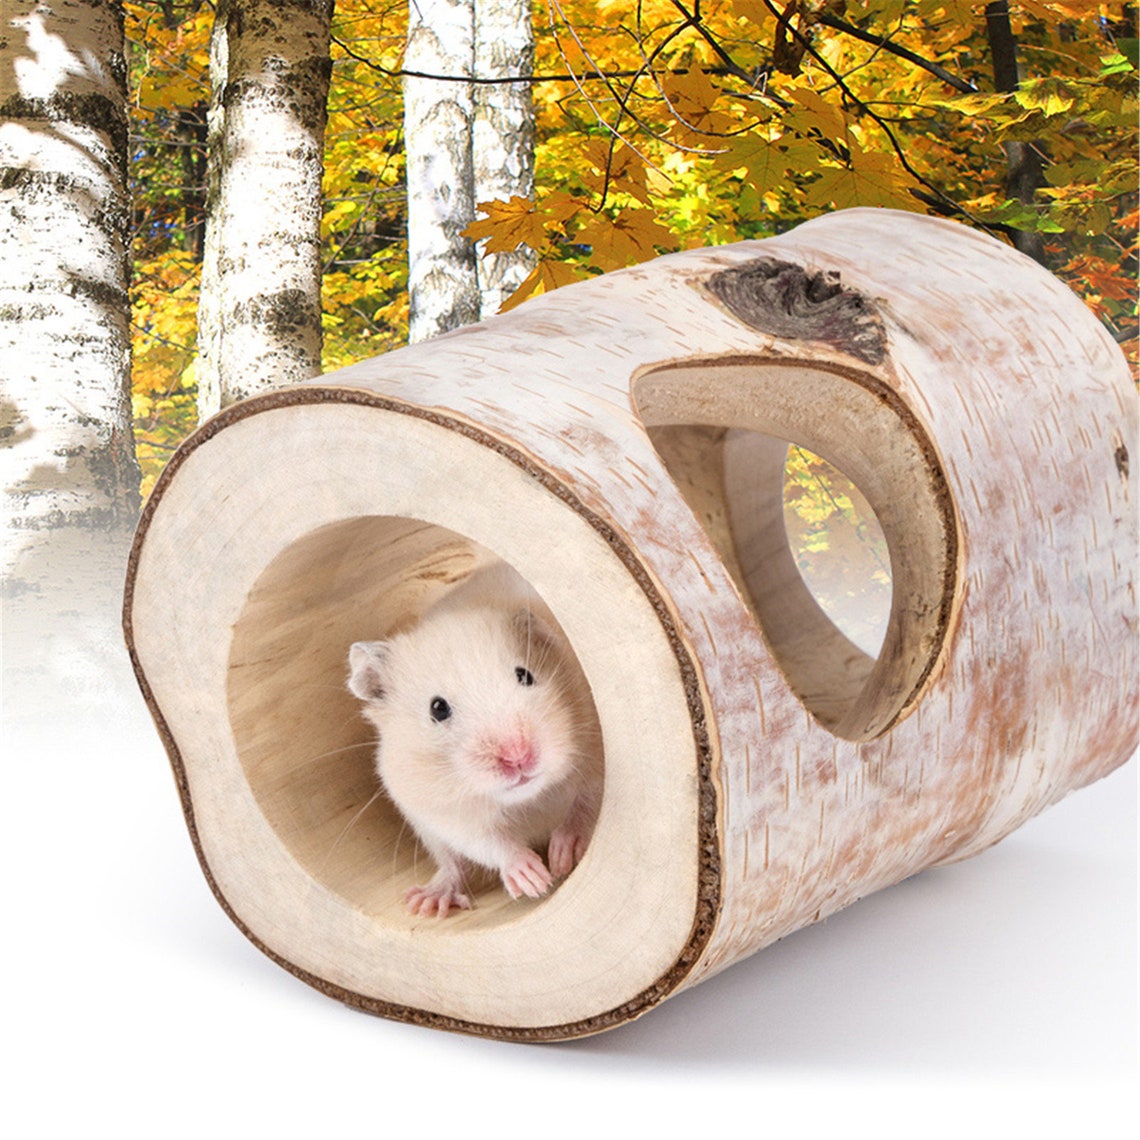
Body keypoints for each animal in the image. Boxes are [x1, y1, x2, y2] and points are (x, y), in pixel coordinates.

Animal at [348, 560, 603, 918]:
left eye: (525, 675)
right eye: (437, 708)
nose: (518, 757)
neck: (528, 799)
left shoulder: (597, 754)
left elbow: (587, 801)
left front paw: (562, 857)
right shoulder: (443, 814)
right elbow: (489, 842)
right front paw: (534, 880)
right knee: (452, 865)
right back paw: (427, 901)